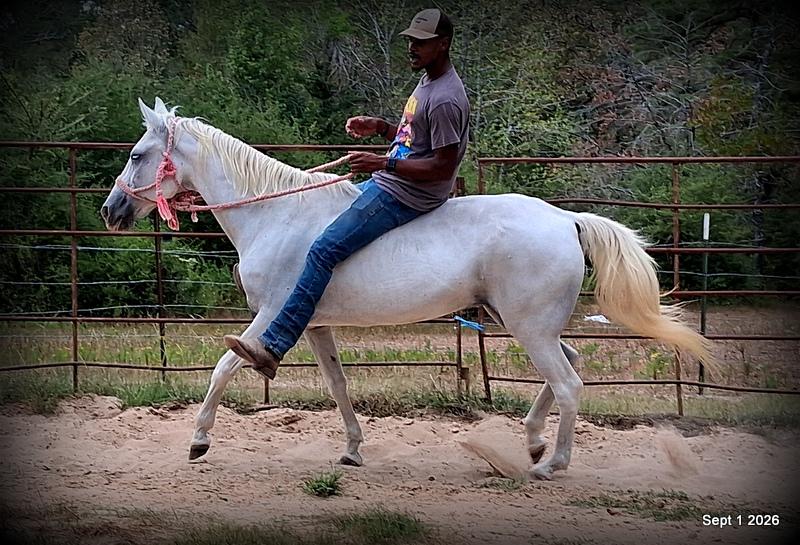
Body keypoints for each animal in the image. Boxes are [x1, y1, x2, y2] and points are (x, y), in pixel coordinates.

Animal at [101, 98, 713, 480]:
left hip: (528, 326)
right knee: (572, 363)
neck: (277, 215)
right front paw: (352, 451)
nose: (111, 211)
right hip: (527, 322)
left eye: (136, 155)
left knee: (567, 383)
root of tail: (567, 220)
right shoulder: (315, 324)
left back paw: (549, 465)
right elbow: (338, 385)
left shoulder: (274, 314)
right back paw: (534, 440)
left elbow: (228, 365)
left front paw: (199, 440)